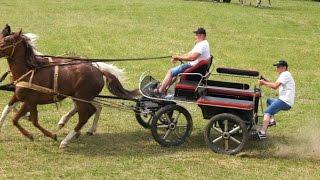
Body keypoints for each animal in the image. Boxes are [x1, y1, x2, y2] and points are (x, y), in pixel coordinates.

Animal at [0, 25, 136, 149]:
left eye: (7, 41)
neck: (29, 70)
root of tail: (98, 69)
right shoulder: (22, 98)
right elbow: (13, 111)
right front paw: (50, 135)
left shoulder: (29, 101)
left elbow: (15, 119)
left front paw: (31, 135)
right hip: (82, 97)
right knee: (96, 107)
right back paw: (79, 129)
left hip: (82, 97)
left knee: (86, 114)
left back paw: (66, 139)